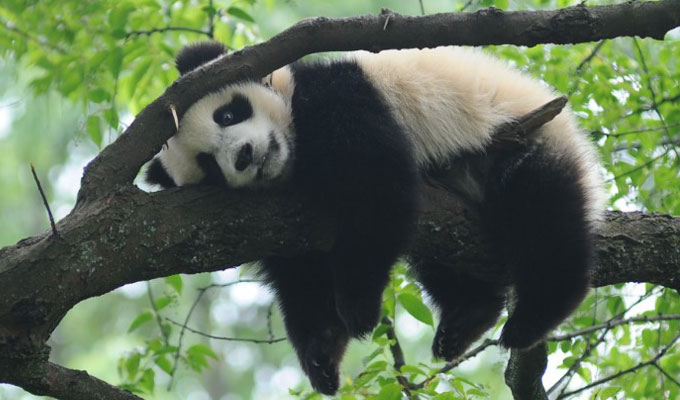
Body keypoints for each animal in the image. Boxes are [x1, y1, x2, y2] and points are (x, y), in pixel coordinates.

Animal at [146, 40, 604, 394]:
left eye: (227, 114)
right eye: (208, 165)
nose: (243, 156)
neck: (293, 154)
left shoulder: (336, 98)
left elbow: (376, 184)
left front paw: (359, 307)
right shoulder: (279, 218)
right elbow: (301, 273)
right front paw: (322, 351)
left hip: (525, 138)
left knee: (543, 218)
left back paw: (534, 315)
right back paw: (467, 316)